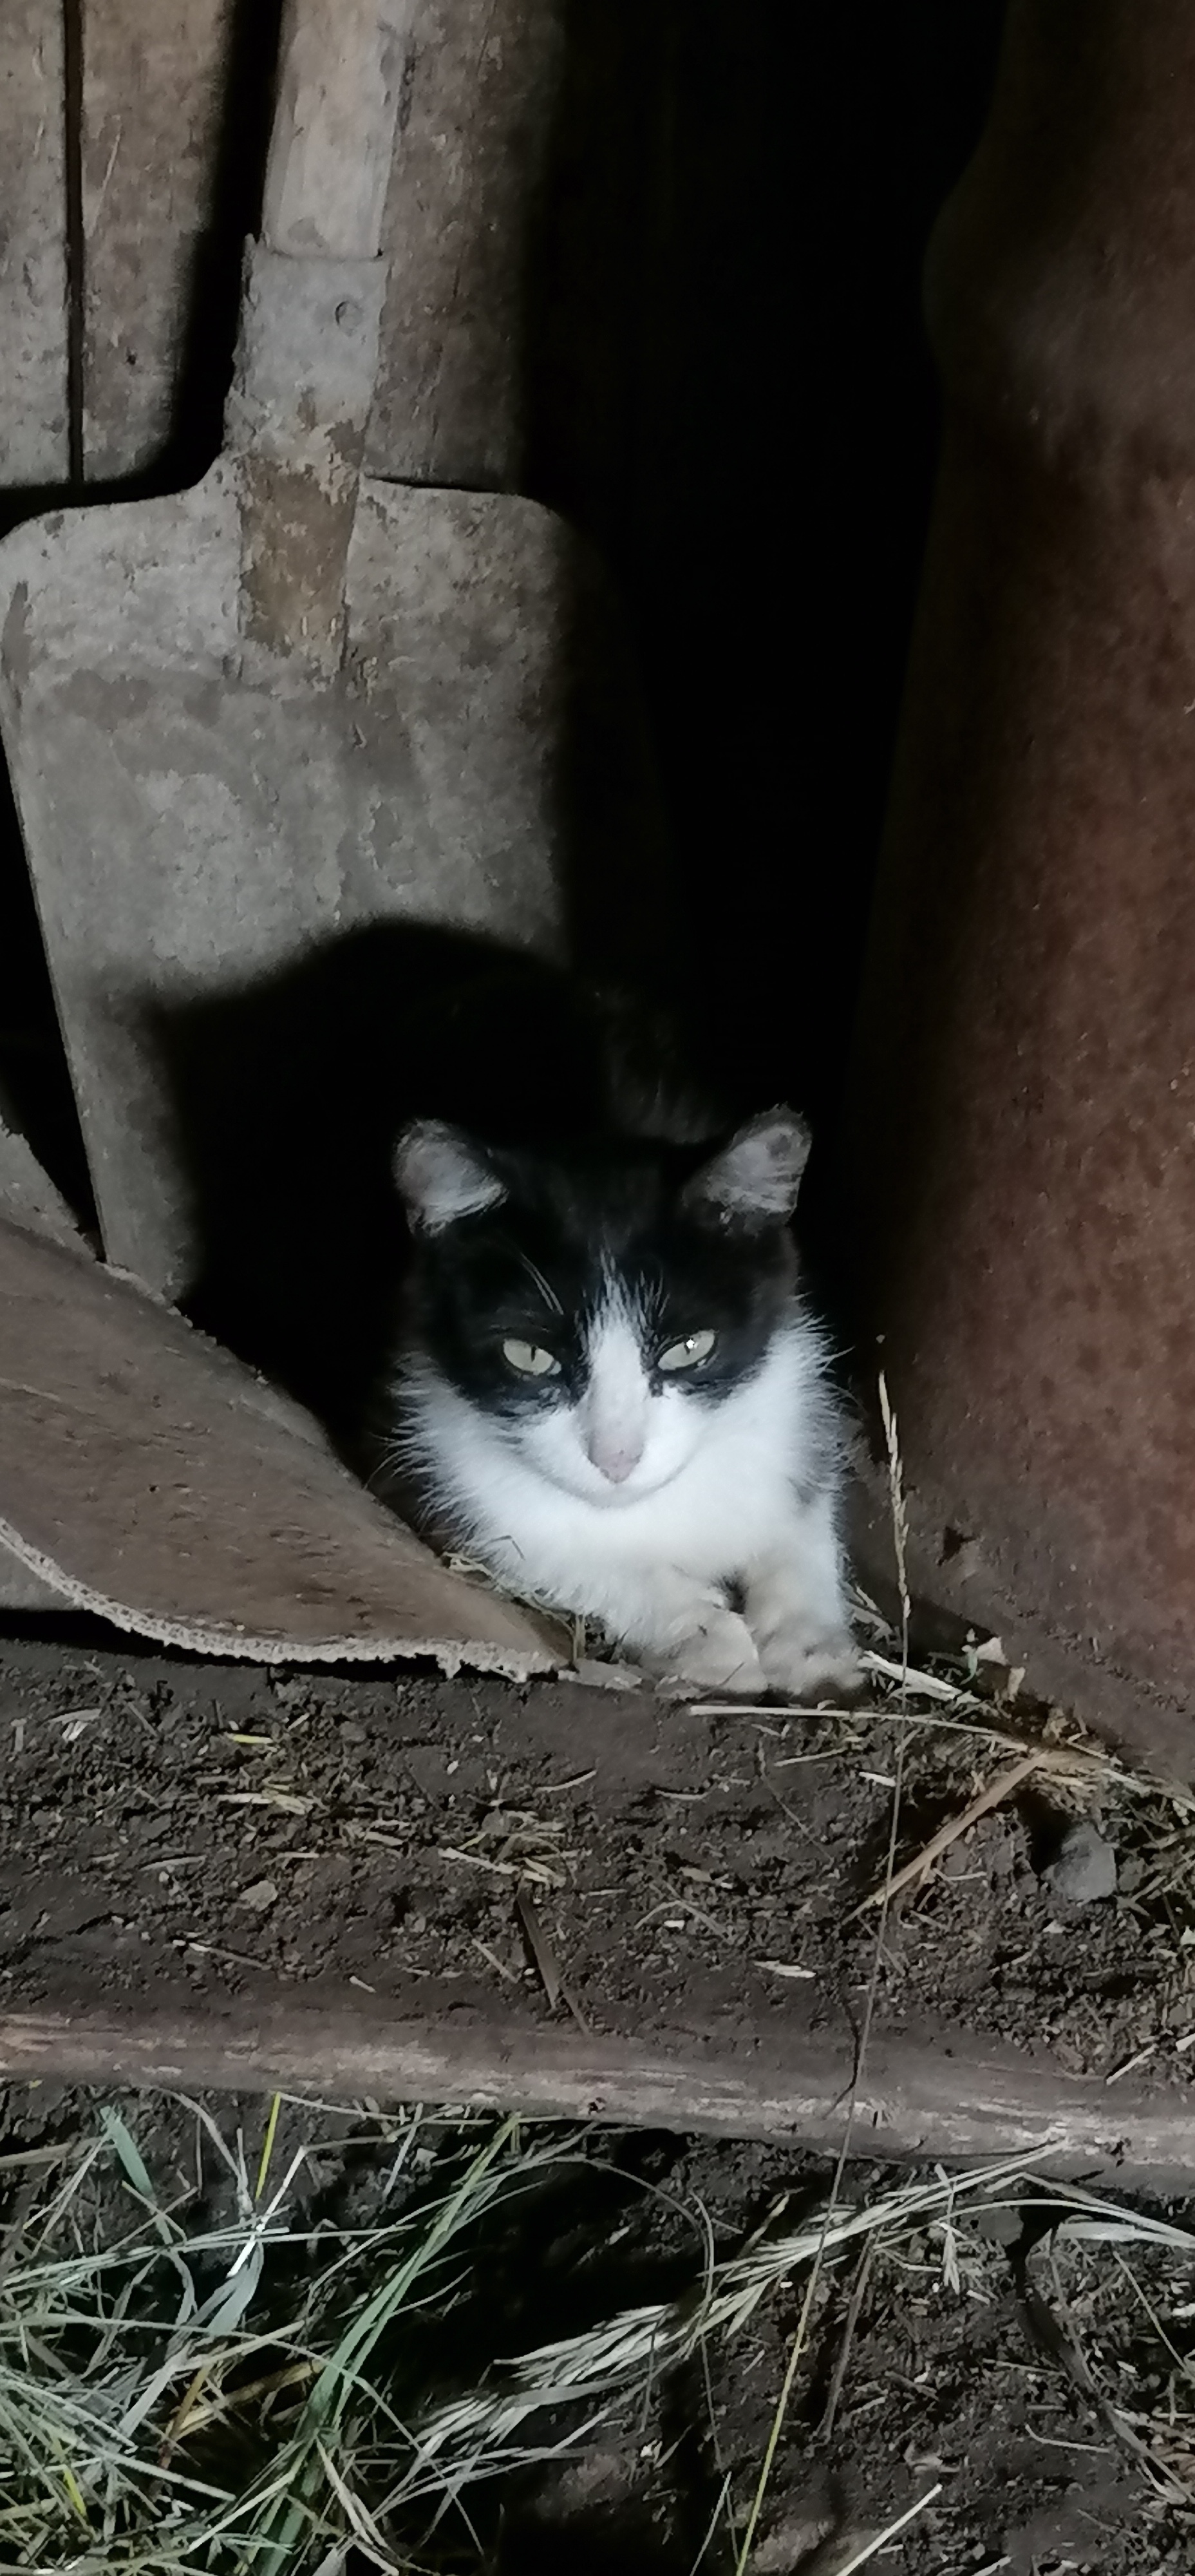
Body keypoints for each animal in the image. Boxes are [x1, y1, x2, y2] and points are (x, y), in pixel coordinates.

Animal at [373, 974, 860, 1700]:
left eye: (689, 1347)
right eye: (529, 1355)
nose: (617, 1461)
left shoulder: (795, 1376)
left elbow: (805, 1512)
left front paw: (810, 1642)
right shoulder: (421, 1450)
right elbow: (540, 1546)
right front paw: (708, 1638)